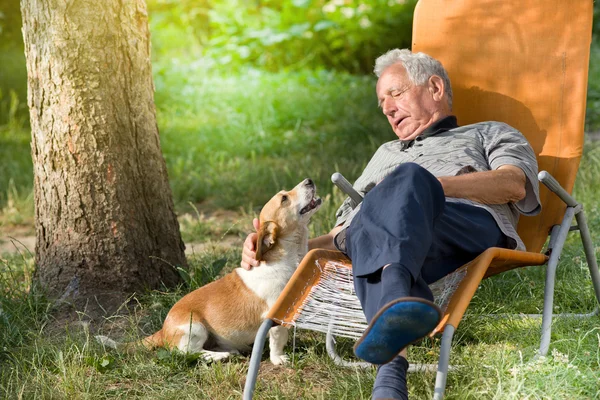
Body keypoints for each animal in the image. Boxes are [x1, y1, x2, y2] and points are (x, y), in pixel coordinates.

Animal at [97, 180, 324, 364]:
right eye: (284, 198)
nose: (309, 180)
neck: (288, 256)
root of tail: (163, 330)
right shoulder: (275, 315)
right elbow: (277, 339)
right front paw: (279, 359)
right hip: (196, 328)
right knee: (186, 353)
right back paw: (220, 356)